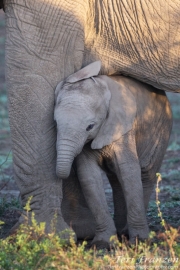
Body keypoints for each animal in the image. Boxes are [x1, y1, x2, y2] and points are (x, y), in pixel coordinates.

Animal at [54, 60, 172, 247]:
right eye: (56, 123)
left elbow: (129, 171)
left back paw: (127, 233)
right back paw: (121, 233)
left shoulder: (123, 128)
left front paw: (139, 242)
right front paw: (103, 244)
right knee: (116, 180)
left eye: (90, 126)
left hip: (161, 130)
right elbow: (89, 176)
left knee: (146, 174)